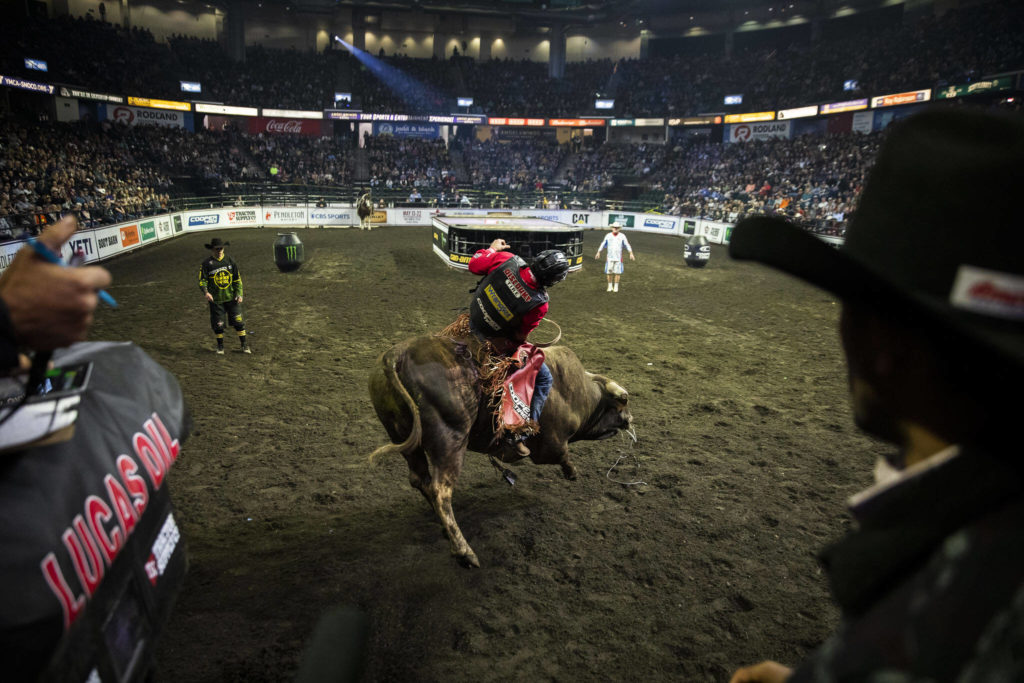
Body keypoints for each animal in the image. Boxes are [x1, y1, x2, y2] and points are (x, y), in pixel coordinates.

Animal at [368, 335, 630, 565]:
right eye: (620, 406)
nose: (630, 419)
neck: (579, 392)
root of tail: (396, 355)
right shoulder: (550, 443)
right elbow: (561, 454)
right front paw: (572, 472)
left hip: (402, 436)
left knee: (420, 479)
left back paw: (445, 530)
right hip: (450, 439)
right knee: (440, 489)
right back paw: (464, 552)